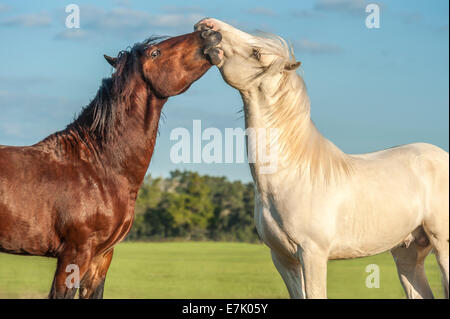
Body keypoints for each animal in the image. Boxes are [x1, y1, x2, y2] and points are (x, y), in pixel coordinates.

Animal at [196, 18, 450, 300]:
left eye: (257, 52)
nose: (207, 26)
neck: (291, 175)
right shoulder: (283, 259)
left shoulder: (312, 254)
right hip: (407, 251)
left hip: (442, 246)